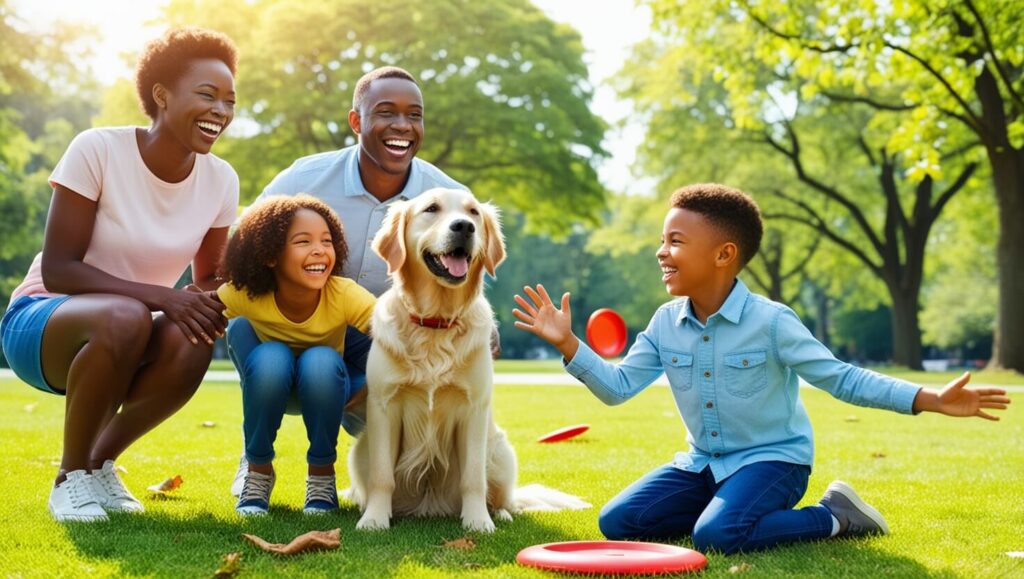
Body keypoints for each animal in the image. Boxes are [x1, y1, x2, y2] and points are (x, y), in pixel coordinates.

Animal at [346, 187, 589, 528]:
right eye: (431, 209)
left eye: (473, 212)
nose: (464, 227)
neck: (435, 322)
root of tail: (429, 507)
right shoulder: (384, 405)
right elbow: (383, 476)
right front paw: (374, 520)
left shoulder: (473, 409)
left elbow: (473, 479)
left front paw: (478, 522)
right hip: (360, 452)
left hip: (500, 450)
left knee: (503, 496)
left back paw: (500, 514)